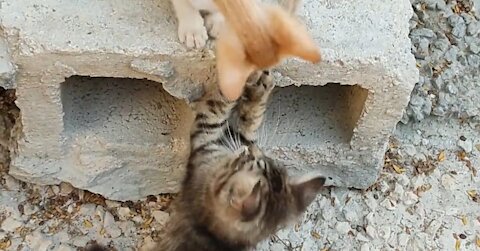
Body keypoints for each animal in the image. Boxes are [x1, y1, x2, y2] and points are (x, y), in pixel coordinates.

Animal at [156, 69, 328, 250]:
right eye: (266, 160)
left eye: (249, 158)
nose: (254, 150)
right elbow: (248, 124)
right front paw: (258, 87)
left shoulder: (206, 137)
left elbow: (223, 108)